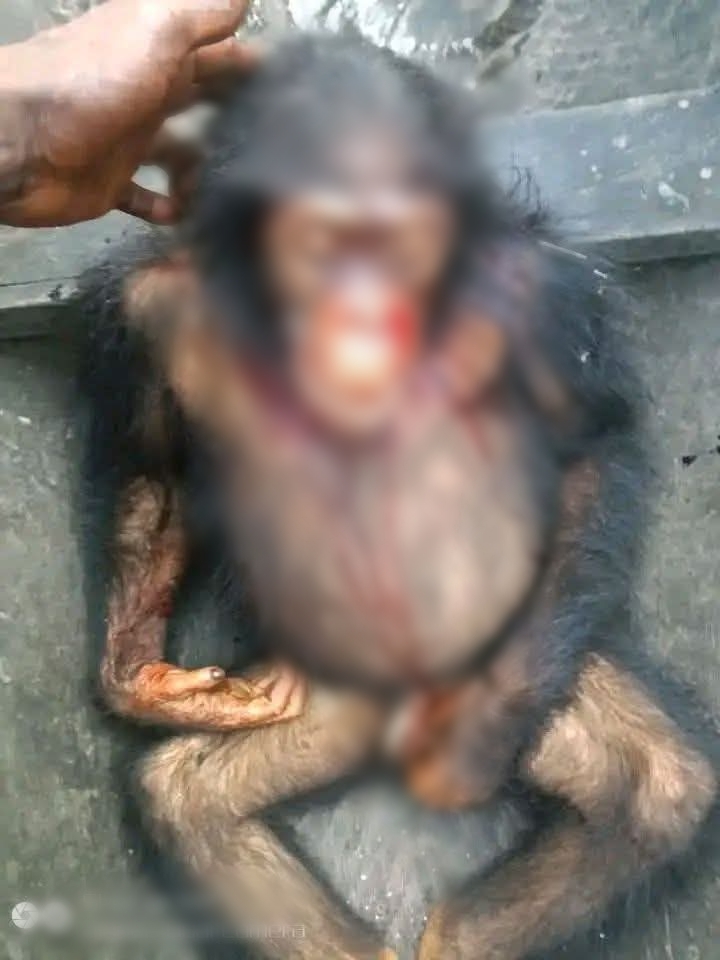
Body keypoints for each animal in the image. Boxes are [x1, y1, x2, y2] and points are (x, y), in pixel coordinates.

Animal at [76, 33, 717, 960]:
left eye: (395, 241)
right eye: (325, 240)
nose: (364, 307)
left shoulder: (544, 293)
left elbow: (588, 443)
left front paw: (475, 744)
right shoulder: (146, 308)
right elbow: (156, 468)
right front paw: (137, 672)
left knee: (658, 787)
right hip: (316, 702)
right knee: (190, 802)